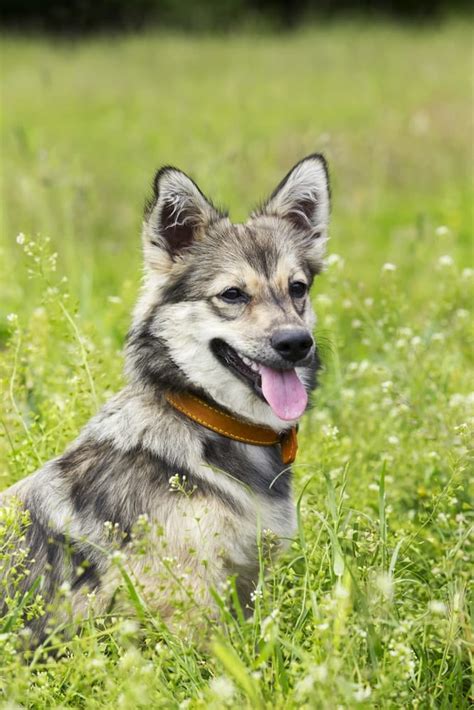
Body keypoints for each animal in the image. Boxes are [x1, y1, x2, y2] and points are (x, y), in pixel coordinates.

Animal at [1, 154, 332, 640]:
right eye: (232, 294)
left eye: (298, 288)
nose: (296, 343)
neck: (212, 426)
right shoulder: (189, 606)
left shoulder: (245, 587)